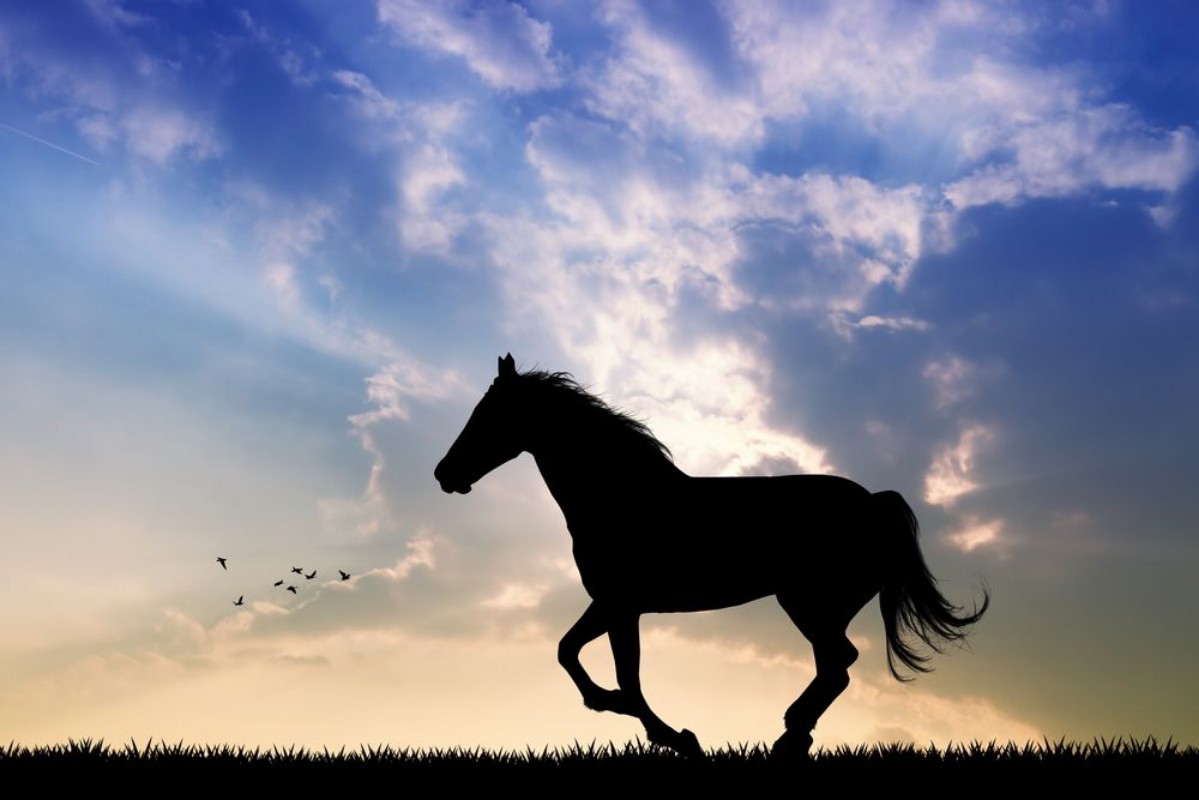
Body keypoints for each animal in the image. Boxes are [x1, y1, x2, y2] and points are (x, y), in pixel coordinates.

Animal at [434, 354, 989, 760]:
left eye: (487, 416)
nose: (444, 473)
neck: (620, 497)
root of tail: (874, 502)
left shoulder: (621, 605)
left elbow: (625, 676)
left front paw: (674, 736)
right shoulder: (610, 604)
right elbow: (568, 651)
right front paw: (612, 706)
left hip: (809, 604)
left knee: (839, 663)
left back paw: (788, 736)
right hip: (823, 609)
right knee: (836, 665)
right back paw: (793, 736)